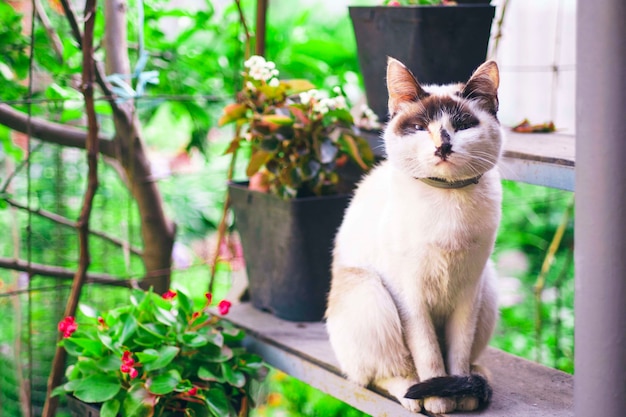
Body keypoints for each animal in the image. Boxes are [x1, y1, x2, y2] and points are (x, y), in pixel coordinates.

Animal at [324, 57, 500, 414]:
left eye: (462, 126)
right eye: (420, 128)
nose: (443, 146)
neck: (448, 197)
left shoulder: (468, 293)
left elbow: (457, 354)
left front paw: (459, 393)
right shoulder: (410, 297)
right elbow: (429, 355)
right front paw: (439, 401)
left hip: (489, 286)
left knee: (467, 360)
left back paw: (474, 381)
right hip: (370, 292)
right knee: (379, 374)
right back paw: (412, 393)